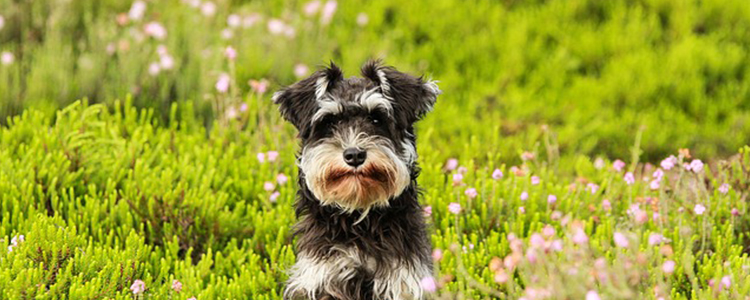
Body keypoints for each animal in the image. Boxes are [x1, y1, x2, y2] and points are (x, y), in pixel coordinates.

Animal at [274, 61, 440, 300]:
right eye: (329, 122)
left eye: (376, 118)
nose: (354, 155)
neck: (359, 219)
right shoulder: (323, 276)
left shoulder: (403, 281)